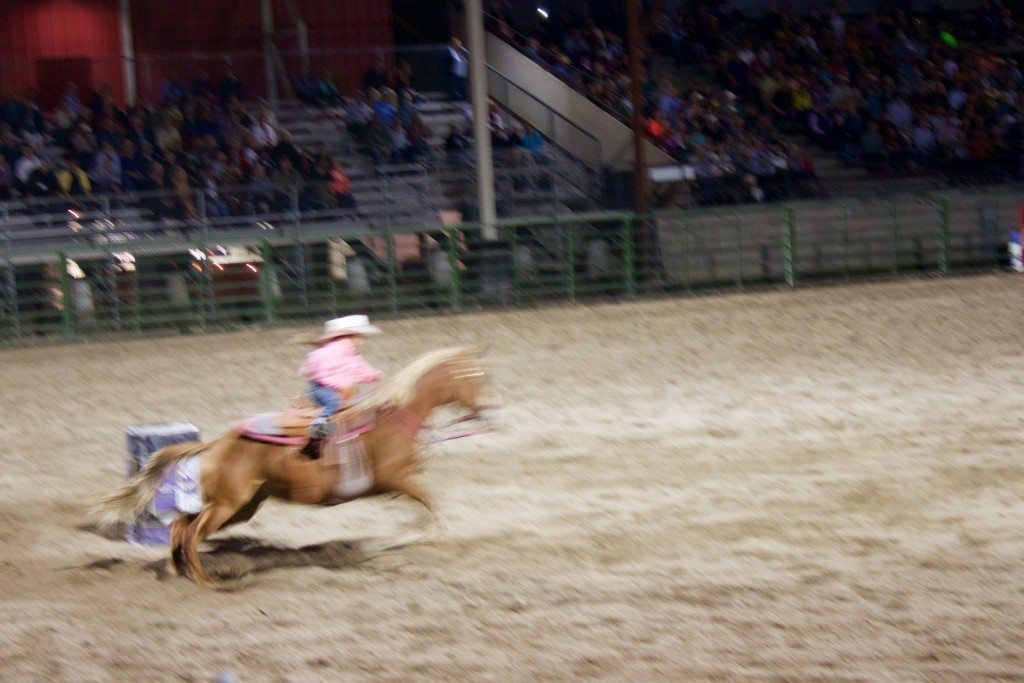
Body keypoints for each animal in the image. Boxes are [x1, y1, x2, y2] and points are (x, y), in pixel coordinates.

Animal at [96, 348, 491, 589]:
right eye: (472, 378)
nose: (485, 410)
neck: (396, 418)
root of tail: (216, 444)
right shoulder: (398, 480)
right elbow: (430, 505)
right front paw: (428, 542)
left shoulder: (396, 486)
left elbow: (422, 509)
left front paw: (395, 540)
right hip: (228, 504)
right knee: (191, 532)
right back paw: (208, 580)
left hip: (241, 505)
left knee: (181, 526)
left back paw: (181, 572)